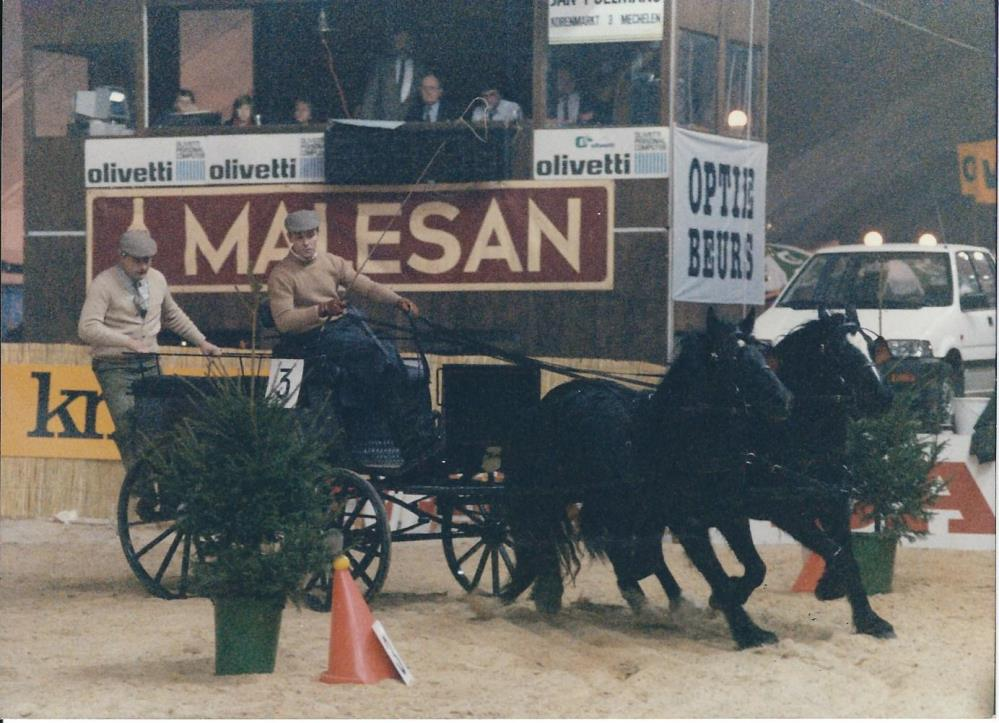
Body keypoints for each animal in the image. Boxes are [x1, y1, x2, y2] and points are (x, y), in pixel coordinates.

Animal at [504, 310, 792, 624]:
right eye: (730, 356)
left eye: (760, 352)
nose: (782, 399)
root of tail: (549, 402)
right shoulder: (681, 520)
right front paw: (721, 598)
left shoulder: (729, 514)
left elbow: (756, 568)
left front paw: (722, 598)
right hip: (559, 497)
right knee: (549, 539)